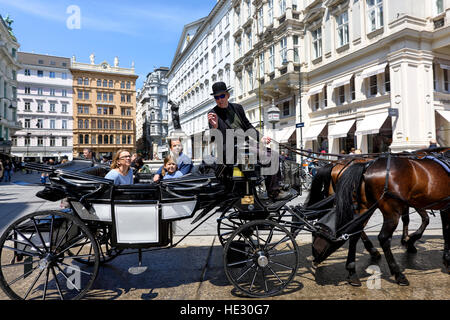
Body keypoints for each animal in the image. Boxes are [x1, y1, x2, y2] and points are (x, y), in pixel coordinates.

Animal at [336, 152, 448, 284]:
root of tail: (368, 166)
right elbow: (439, 227)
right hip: (392, 212)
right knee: (384, 238)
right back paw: (398, 274)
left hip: (365, 208)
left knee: (355, 234)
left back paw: (353, 272)